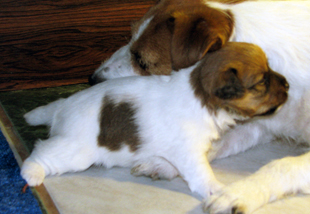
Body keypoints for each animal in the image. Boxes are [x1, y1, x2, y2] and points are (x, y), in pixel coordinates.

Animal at [21, 42, 288, 203]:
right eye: (262, 81)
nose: (287, 84)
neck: (200, 96)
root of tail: (63, 105)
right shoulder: (189, 153)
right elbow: (202, 174)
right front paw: (217, 190)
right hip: (77, 151)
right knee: (41, 151)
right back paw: (31, 173)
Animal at [88, 0, 310, 212]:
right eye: (130, 37)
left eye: (142, 61)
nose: (92, 80)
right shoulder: (259, 124)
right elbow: (214, 143)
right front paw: (163, 162)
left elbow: (283, 165)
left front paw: (238, 193)